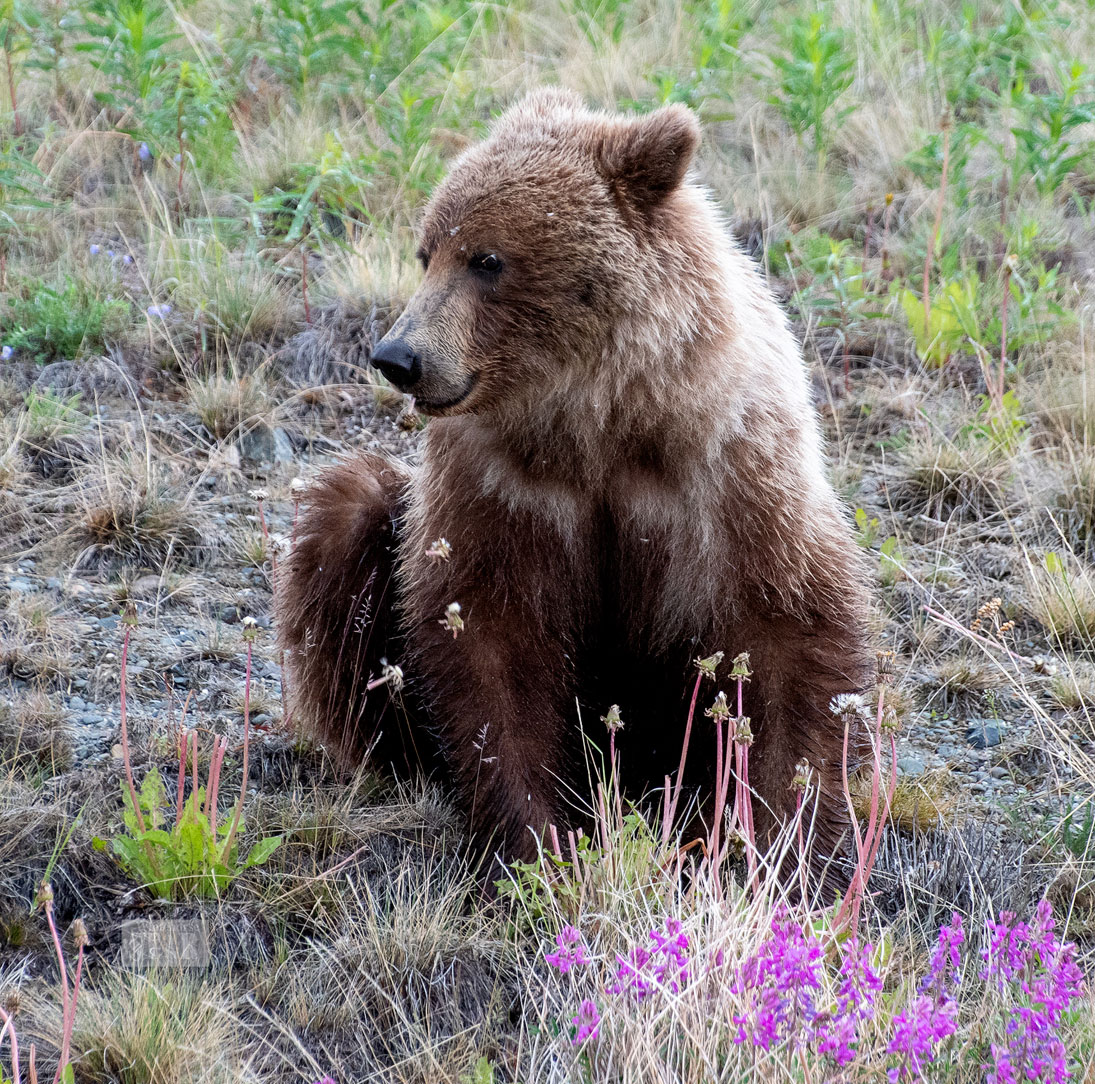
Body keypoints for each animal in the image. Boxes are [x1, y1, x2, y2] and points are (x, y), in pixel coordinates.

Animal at [277, 88, 872, 874]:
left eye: (486, 258)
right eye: (426, 252)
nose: (398, 357)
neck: (599, 417)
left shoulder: (728, 469)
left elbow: (785, 630)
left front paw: (776, 839)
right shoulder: (500, 484)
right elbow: (490, 641)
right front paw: (539, 838)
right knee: (347, 516)